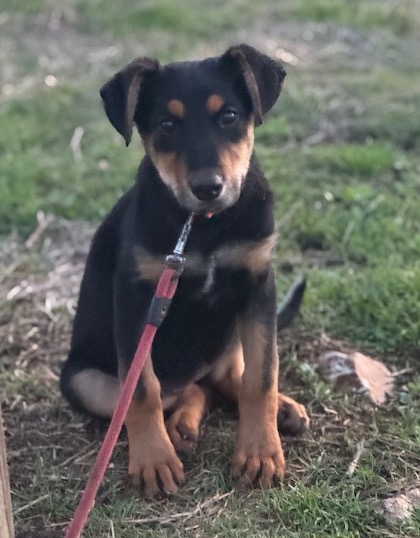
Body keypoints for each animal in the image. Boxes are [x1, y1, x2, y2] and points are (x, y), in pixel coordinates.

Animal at [60, 44, 309, 497]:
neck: (204, 224)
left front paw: (261, 451)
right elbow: (143, 390)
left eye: (228, 116)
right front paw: (154, 461)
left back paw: (282, 408)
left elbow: (262, 376)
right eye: (166, 124)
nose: (208, 187)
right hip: (85, 381)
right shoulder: (136, 297)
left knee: (224, 378)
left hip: (229, 336)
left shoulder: (258, 284)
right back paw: (181, 428)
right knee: (184, 390)